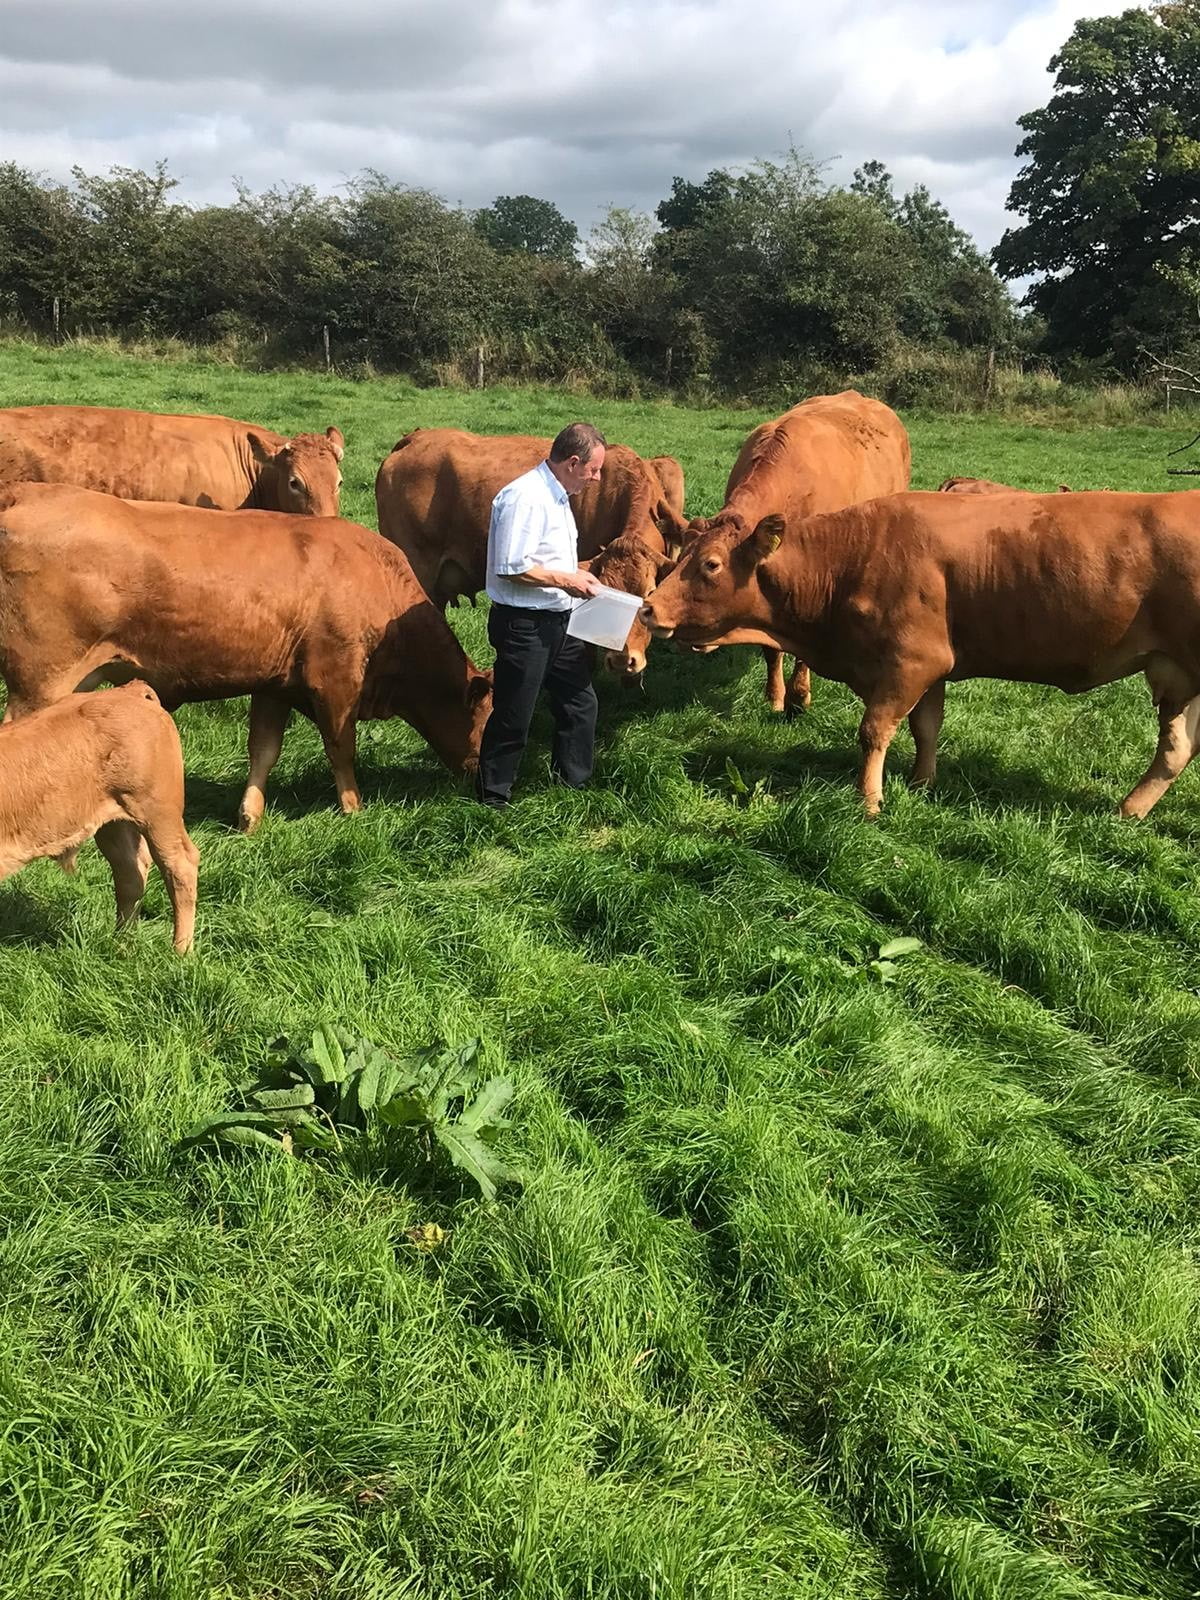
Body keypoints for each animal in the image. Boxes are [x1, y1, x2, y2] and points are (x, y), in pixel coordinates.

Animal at [0, 485, 492, 833]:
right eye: (490, 719)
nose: (481, 784)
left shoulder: (276, 683)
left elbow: (264, 749)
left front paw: (249, 816)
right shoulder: (336, 682)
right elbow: (341, 748)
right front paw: (353, 807)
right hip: (39, 682)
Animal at [0, 681, 199, 951]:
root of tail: (129, 690)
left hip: (159, 812)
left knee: (180, 867)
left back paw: (180, 950)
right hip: (114, 823)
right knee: (130, 872)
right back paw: (122, 941)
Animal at [641, 489, 1200, 818]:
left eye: (711, 564)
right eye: (683, 555)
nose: (648, 608)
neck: (849, 559)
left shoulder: (911, 662)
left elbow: (874, 731)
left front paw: (869, 801)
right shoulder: (930, 669)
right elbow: (925, 726)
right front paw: (922, 782)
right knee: (1176, 750)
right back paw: (1131, 810)